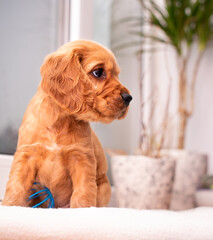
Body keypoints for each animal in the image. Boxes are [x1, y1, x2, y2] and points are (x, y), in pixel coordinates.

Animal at [2, 40, 131, 207]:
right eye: (98, 72)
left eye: (117, 75)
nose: (129, 98)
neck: (60, 120)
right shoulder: (26, 155)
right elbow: (16, 187)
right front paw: (10, 206)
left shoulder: (82, 159)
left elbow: (83, 193)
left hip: (104, 188)